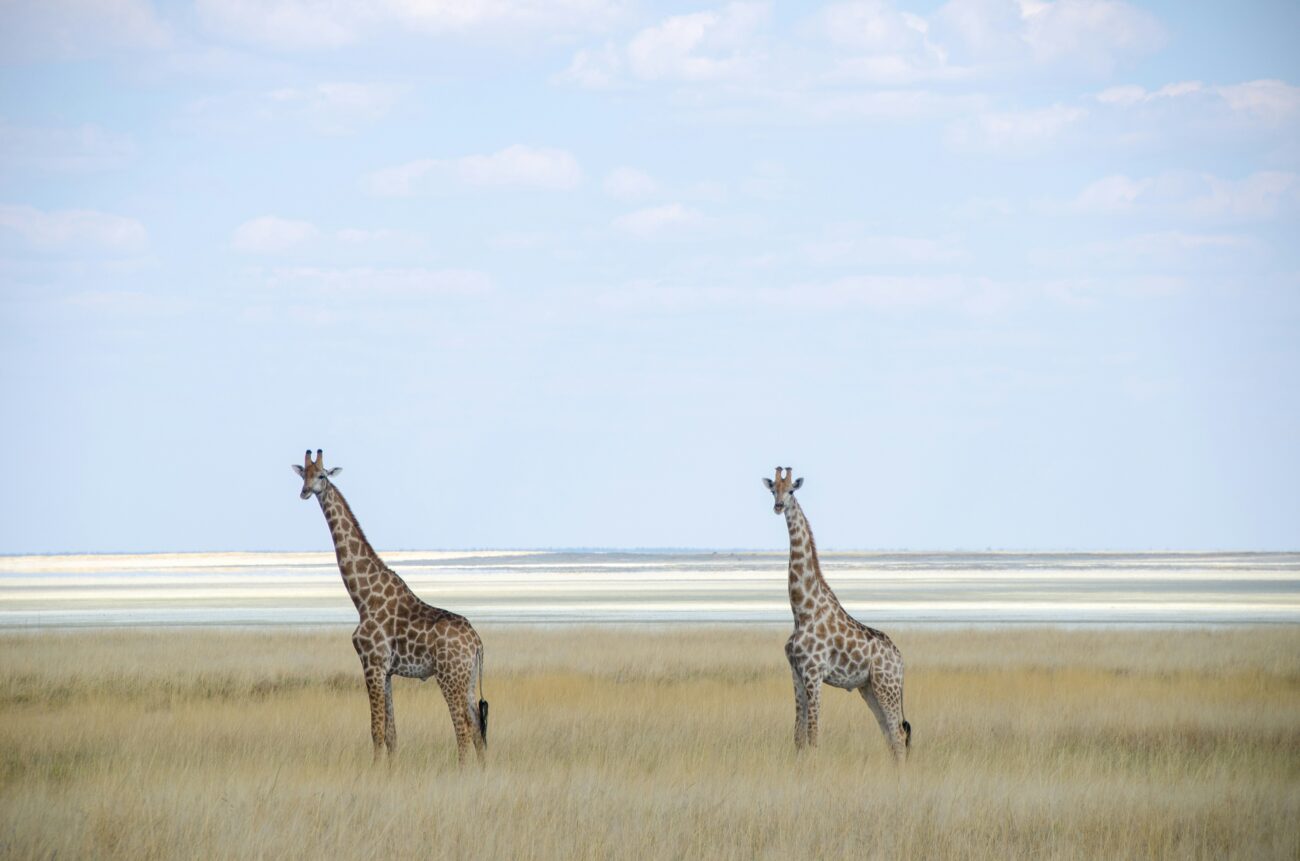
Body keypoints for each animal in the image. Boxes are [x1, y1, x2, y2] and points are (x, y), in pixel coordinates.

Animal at [293, 449, 487, 766]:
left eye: (322, 475)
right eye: (303, 475)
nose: (305, 492)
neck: (362, 598)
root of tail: (477, 642)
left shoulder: (371, 663)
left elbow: (376, 731)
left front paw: (373, 772)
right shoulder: (386, 671)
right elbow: (392, 735)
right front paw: (389, 771)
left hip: (449, 676)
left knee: (463, 728)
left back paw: (462, 772)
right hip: (467, 679)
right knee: (477, 731)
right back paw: (482, 772)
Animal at [763, 467, 911, 763]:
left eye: (792, 490)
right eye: (773, 489)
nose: (779, 506)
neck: (802, 611)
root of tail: (901, 661)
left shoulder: (813, 672)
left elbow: (813, 734)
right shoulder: (796, 673)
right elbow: (798, 736)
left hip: (886, 687)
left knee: (898, 734)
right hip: (869, 688)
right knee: (889, 734)